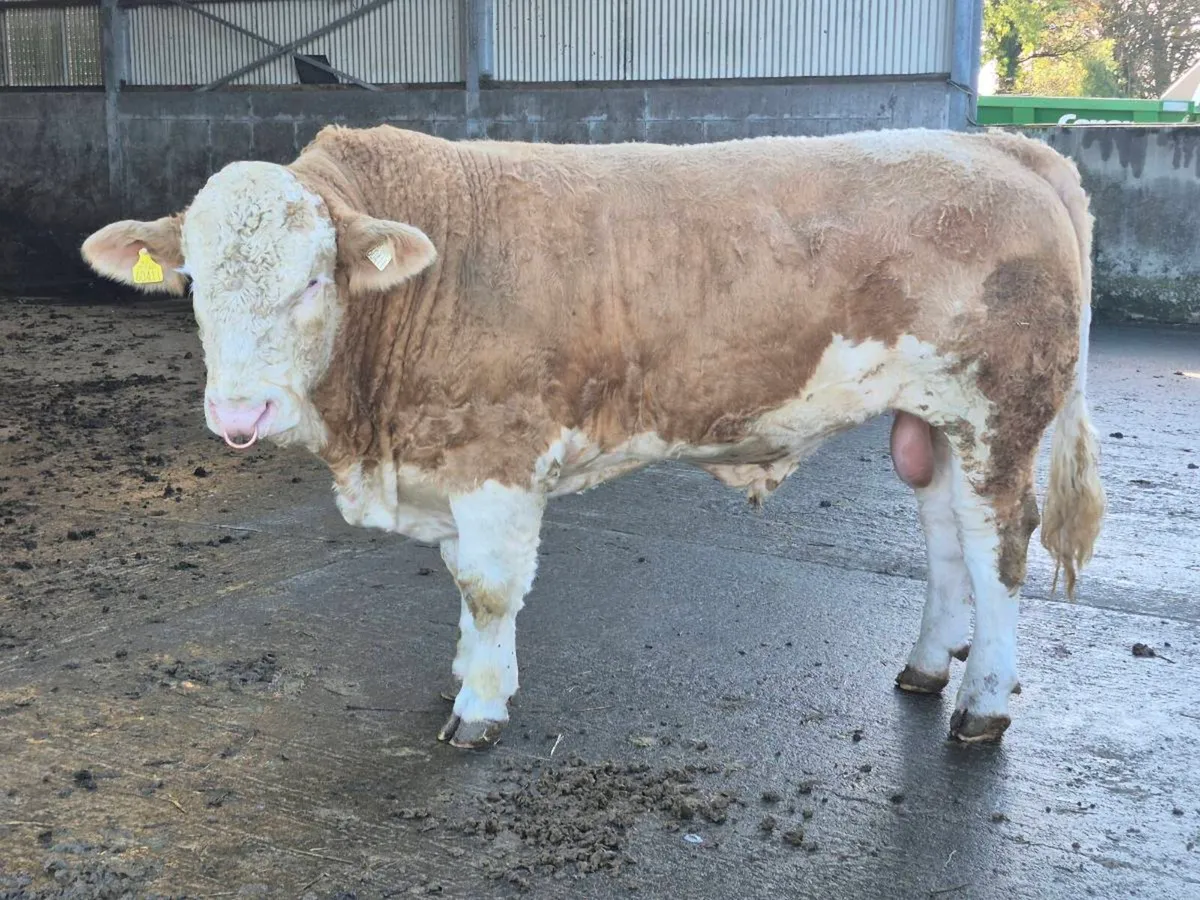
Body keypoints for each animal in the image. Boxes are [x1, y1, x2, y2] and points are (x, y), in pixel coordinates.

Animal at [79, 124, 1106, 749]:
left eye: (313, 280)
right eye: (192, 283)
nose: (240, 413)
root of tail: (996, 144)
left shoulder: (497, 455)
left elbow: (488, 588)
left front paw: (480, 706)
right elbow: (463, 589)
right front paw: (470, 675)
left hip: (1000, 411)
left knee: (999, 549)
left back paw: (983, 705)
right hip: (934, 419)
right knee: (945, 541)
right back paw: (929, 667)